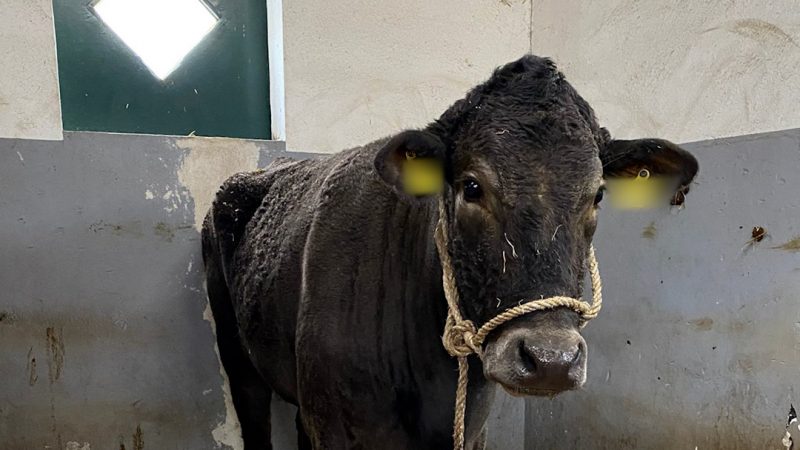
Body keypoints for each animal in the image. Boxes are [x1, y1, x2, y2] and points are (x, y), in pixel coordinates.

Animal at [203, 54, 696, 448]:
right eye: (471, 186)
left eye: (597, 195)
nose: (550, 360)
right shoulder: (338, 428)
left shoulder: (471, 429)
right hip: (237, 359)